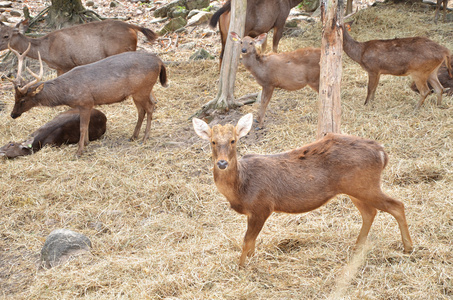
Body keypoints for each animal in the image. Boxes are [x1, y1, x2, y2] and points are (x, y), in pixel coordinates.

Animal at [0, 19, 157, 75]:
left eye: (6, 36)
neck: (46, 50)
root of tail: (133, 27)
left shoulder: (66, 64)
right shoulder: (59, 67)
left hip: (120, 50)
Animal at [8, 45, 168, 157]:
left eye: (23, 100)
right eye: (14, 97)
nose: (13, 114)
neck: (68, 93)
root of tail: (160, 62)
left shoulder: (85, 102)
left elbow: (82, 127)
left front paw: (79, 151)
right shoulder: (83, 105)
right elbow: (84, 124)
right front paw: (85, 143)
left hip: (143, 89)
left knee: (150, 107)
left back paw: (145, 138)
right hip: (136, 93)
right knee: (142, 110)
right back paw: (133, 136)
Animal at [192, 112, 412, 268]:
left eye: (233, 141)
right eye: (212, 141)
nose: (222, 163)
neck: (242, 188)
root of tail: (382, 152)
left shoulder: (262, 206)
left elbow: (247, 241)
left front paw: (241, 267)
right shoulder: (252, 212)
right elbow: (252, 243)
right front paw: (250, 262)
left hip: (366, 185)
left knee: (397, 205)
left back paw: (408, 247)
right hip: (355, 188)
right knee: (370, 212)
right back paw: (357, 248)